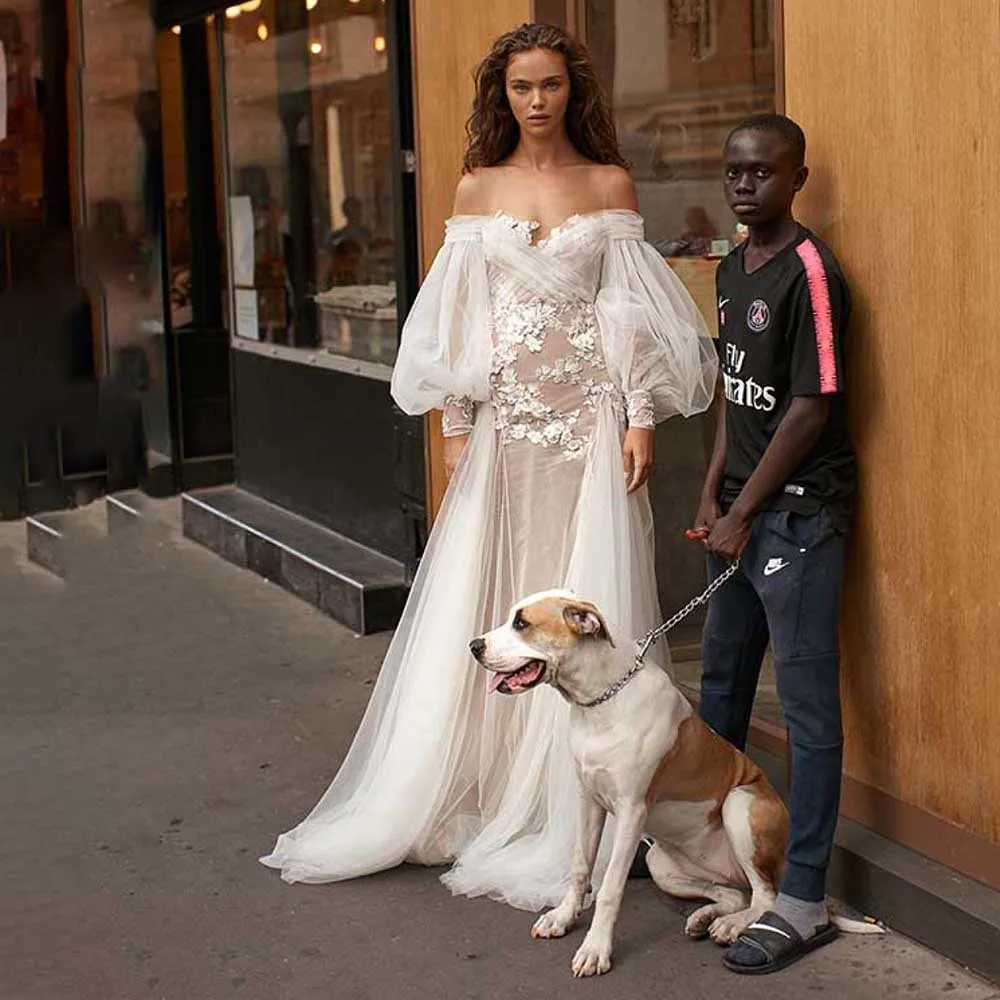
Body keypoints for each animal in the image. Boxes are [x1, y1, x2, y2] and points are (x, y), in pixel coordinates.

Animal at [468, 592, 876, 976]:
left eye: (522, 623)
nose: (474, 645)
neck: (600, 700)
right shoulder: (589, 800)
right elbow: (581, 864)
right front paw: (563, 917)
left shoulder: (632, 811)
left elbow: (611, 887)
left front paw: (595, 948)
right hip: (661, 861)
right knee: (736, 895)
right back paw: (707, 918)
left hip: (740, 803)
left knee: (765, 897)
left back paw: (732, 927)